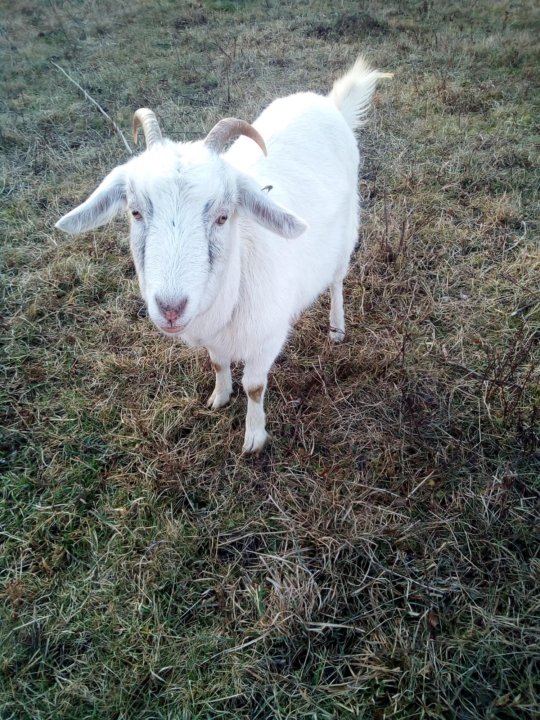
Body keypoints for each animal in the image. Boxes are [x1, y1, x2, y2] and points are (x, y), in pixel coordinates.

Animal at [56, 57, 391, 453]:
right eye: (135, 212)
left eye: (222, 216)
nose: (171, 308)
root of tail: (329, 104)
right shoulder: (212, 337)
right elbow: (218, 365)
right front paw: (219, 397)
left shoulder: (267, 338)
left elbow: (255, 387)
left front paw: (254, 438)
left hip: (345, 234)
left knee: (337, 280)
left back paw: (337, 329)